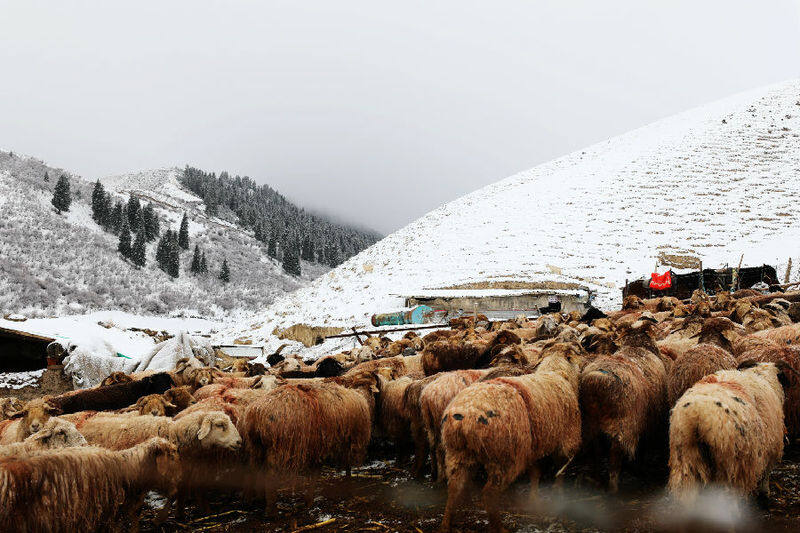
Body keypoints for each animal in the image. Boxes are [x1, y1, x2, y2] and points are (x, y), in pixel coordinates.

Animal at [438, 354, 580, 532]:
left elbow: (535, 473)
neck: (556, 373)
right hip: (504, 459)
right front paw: (558, 494)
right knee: (489, 494)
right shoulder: (566, 442)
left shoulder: (534, 447)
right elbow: (559, 472)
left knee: (454, 488)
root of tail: (465, 415)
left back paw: (446, 524)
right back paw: (499, 527)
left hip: (457, 453)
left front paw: (534, 499)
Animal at [580, 316, 664, 490]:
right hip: (623, 427)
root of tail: (597, 380)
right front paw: (640, 469)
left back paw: (596, 480)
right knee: (614, 460)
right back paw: (613, 488)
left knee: (596, 453)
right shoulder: (646, 422)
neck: (636, 345)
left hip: (589, 426)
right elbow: (642, 449)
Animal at [668, 360, 788, 500]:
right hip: (729, 466)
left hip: (685, 456)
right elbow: (765, 476)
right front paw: (765, 492)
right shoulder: (771, 448)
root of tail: (699, 415)